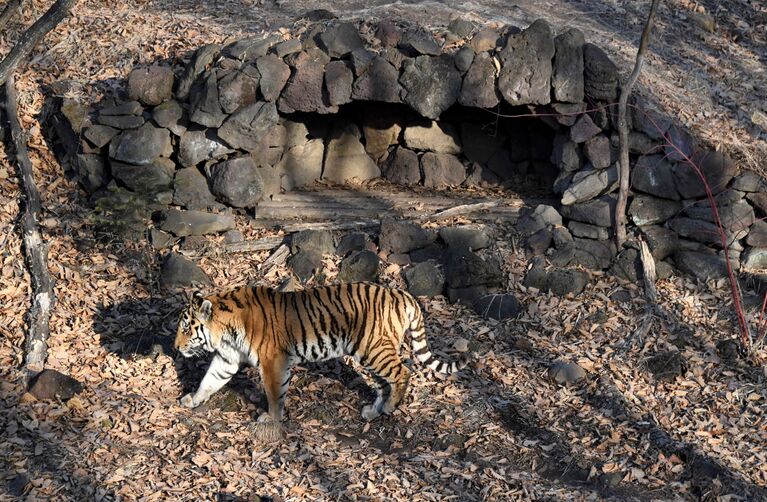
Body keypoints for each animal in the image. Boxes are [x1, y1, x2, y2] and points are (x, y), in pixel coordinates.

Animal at [176, 282, 468, 424]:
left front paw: (271, 418)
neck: (225, 330)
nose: (176, 347)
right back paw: (374, 411)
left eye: (186, 328)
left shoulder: (273, 361)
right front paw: (191, 400)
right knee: (385, 383)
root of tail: (401, 293)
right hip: (371, 354)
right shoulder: (227, 358)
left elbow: (274, 394)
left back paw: (389, 408)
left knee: (403, 373)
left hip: (374, 349)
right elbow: (209, 380)